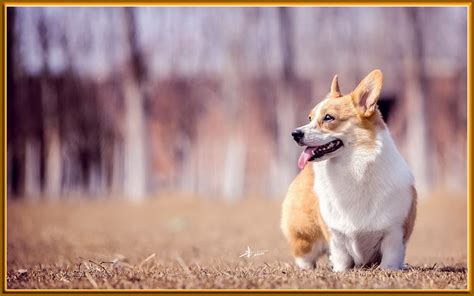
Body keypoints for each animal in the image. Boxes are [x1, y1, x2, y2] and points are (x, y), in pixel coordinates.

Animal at [280, 69, 416, 270]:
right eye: (309, 118)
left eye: (328, 118)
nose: (294, 134)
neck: (352, 168)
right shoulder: (336, 236)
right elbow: (341, 259)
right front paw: (339, 272)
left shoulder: (394, 233)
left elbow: (390, 259)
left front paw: (390, 270)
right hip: (305, 238)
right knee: (305, 258)